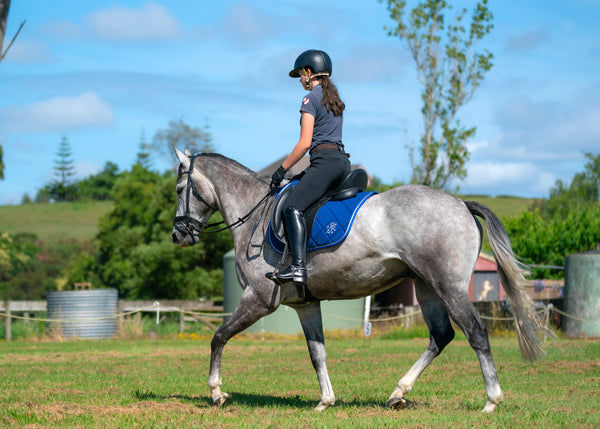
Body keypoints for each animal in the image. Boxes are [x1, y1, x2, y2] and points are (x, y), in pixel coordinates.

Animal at [171, 148, 552, 412]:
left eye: (179, 188)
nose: (179, 235)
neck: (255, 214)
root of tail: (460, 203)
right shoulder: (305, 304)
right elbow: (317, 353)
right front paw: (325, 400)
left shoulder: (258, 299)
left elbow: (218, 338)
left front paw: (216, 392)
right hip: (426, 287)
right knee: (441, 336)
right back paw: (398, 393)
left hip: (450, 287)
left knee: (476, 333)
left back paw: (491, 400)